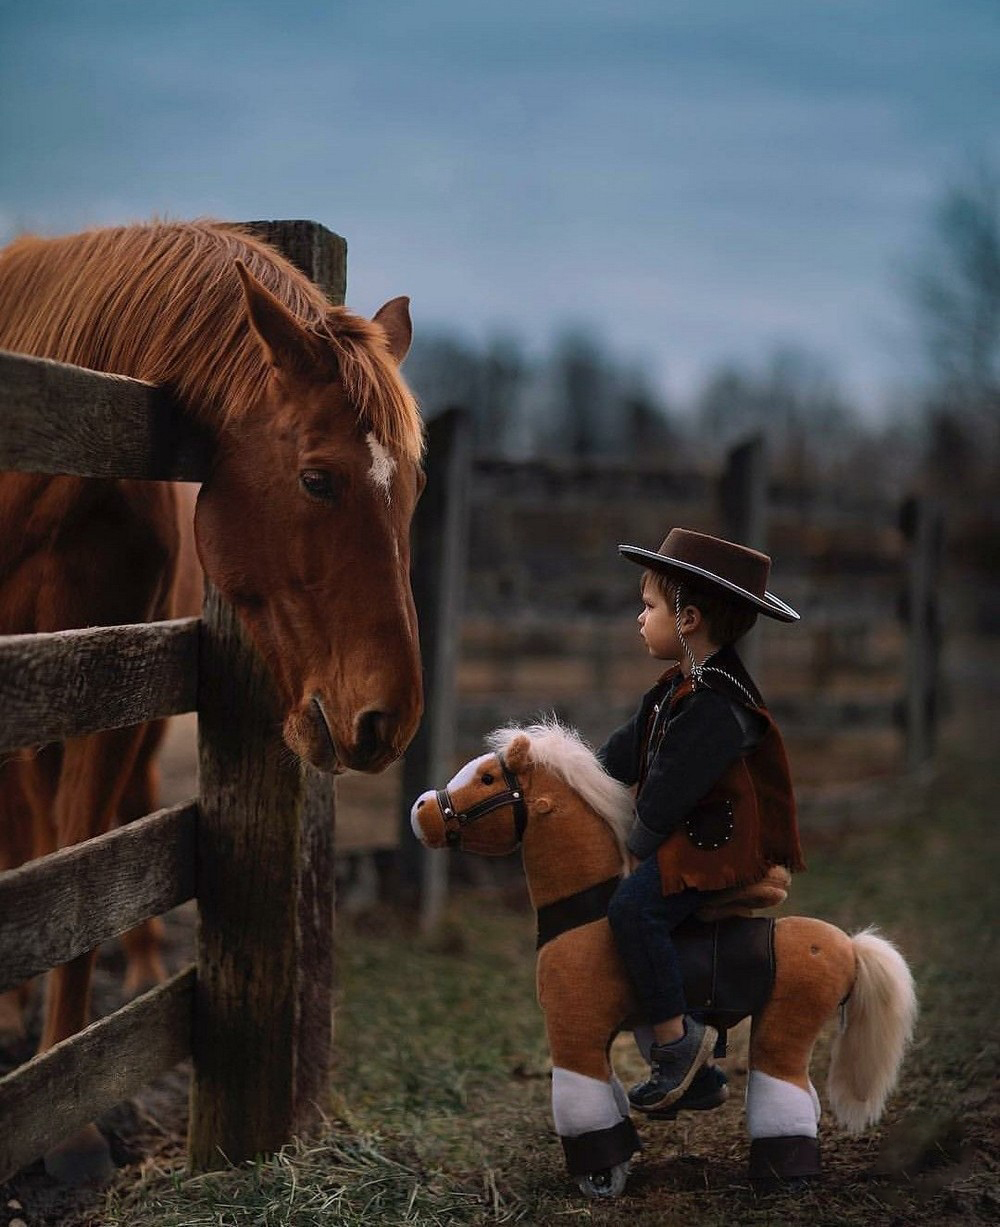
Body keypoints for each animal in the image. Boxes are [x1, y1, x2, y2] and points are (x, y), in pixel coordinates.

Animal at [0, 225, 424, 1173]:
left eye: (414, 490)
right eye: (317, 479)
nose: (389, 720)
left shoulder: (106, 687)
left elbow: (83, 872)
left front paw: (68, 1118)